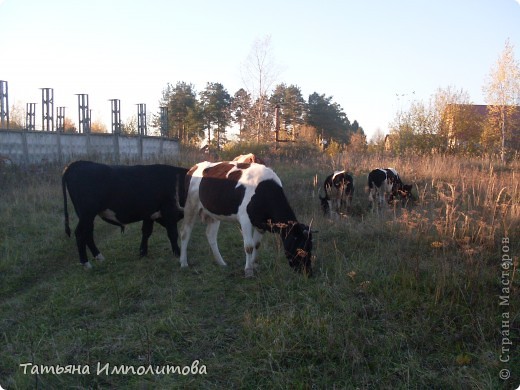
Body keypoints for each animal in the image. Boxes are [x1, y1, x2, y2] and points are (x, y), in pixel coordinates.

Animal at [179, 161, 312, 278]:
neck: (263, 190)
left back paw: (221, 263)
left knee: (210, 235)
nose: (308, 272)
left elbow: (257, 244)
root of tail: (193, 168)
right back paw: (183, 262)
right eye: (301, 249)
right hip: (190, 206)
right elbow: (249, 246)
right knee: (185, 234)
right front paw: (248, 271)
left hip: (213, 214)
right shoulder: (245, 219)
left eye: (311, 247)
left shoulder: (260, 223)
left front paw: (254, 265)